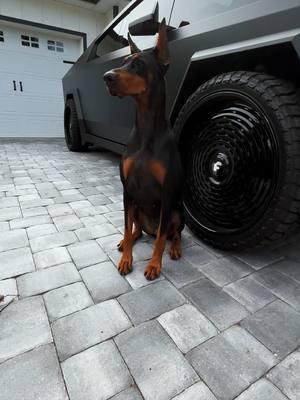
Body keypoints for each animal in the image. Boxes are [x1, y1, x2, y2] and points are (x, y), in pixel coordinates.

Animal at [103, 19, 185, 282]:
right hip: (137, 206)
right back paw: (126, 241)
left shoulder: (167, 194)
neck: (146, 127)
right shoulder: (127, 189)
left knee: (171, 233)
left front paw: (154, 264)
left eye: (138, 64)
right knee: (136, 229)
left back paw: (175, 248)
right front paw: (126, 259)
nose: (106, 77)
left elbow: (161, 238)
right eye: (123, 62)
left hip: (177, 212)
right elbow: (126, 227)